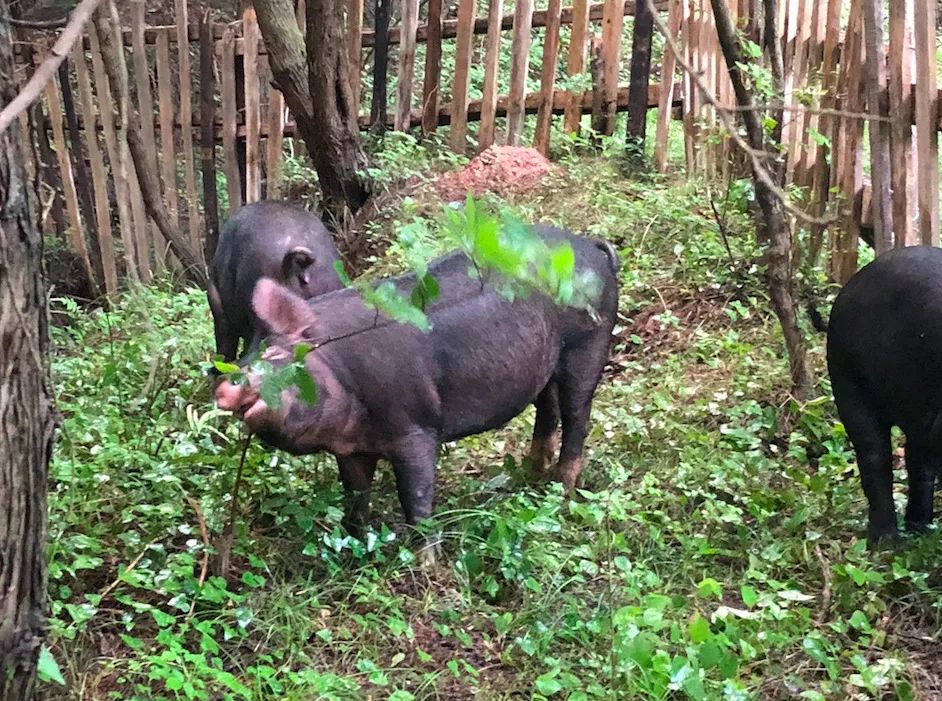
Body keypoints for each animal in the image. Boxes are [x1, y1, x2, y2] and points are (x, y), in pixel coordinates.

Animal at [218, 226, 624, 556]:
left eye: (278, 356)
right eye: (248, 353)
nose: (225, 386)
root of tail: (591, 246)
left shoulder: (416, 427)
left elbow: (416, 499)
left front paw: (426, 564)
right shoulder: (351, 448)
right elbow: (355, 499)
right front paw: (353, 548)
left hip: (589, 344)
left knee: (577, 416)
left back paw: (563, 492)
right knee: (547, 407)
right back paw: (529, 476)